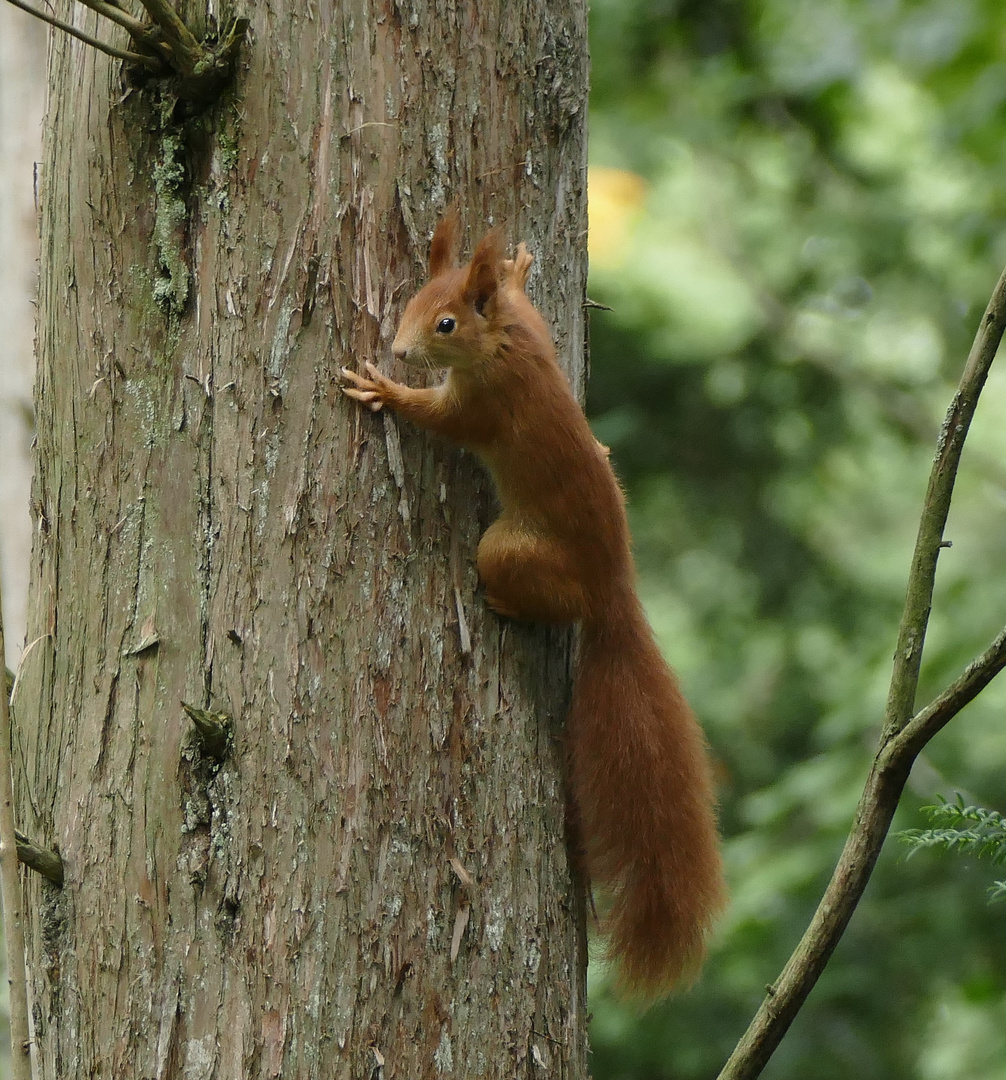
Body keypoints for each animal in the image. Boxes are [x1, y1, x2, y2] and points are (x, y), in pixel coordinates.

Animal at [341, 210, 726, 993]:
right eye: (414, 301)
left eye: (446, 322)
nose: (399, 348)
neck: (501, 343)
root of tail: (615, 590)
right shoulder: (532, 334)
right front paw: (517, 269)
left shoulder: (486, 405)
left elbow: (443, 419)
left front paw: (386, 390)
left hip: (511, 551)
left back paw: (507, 606)